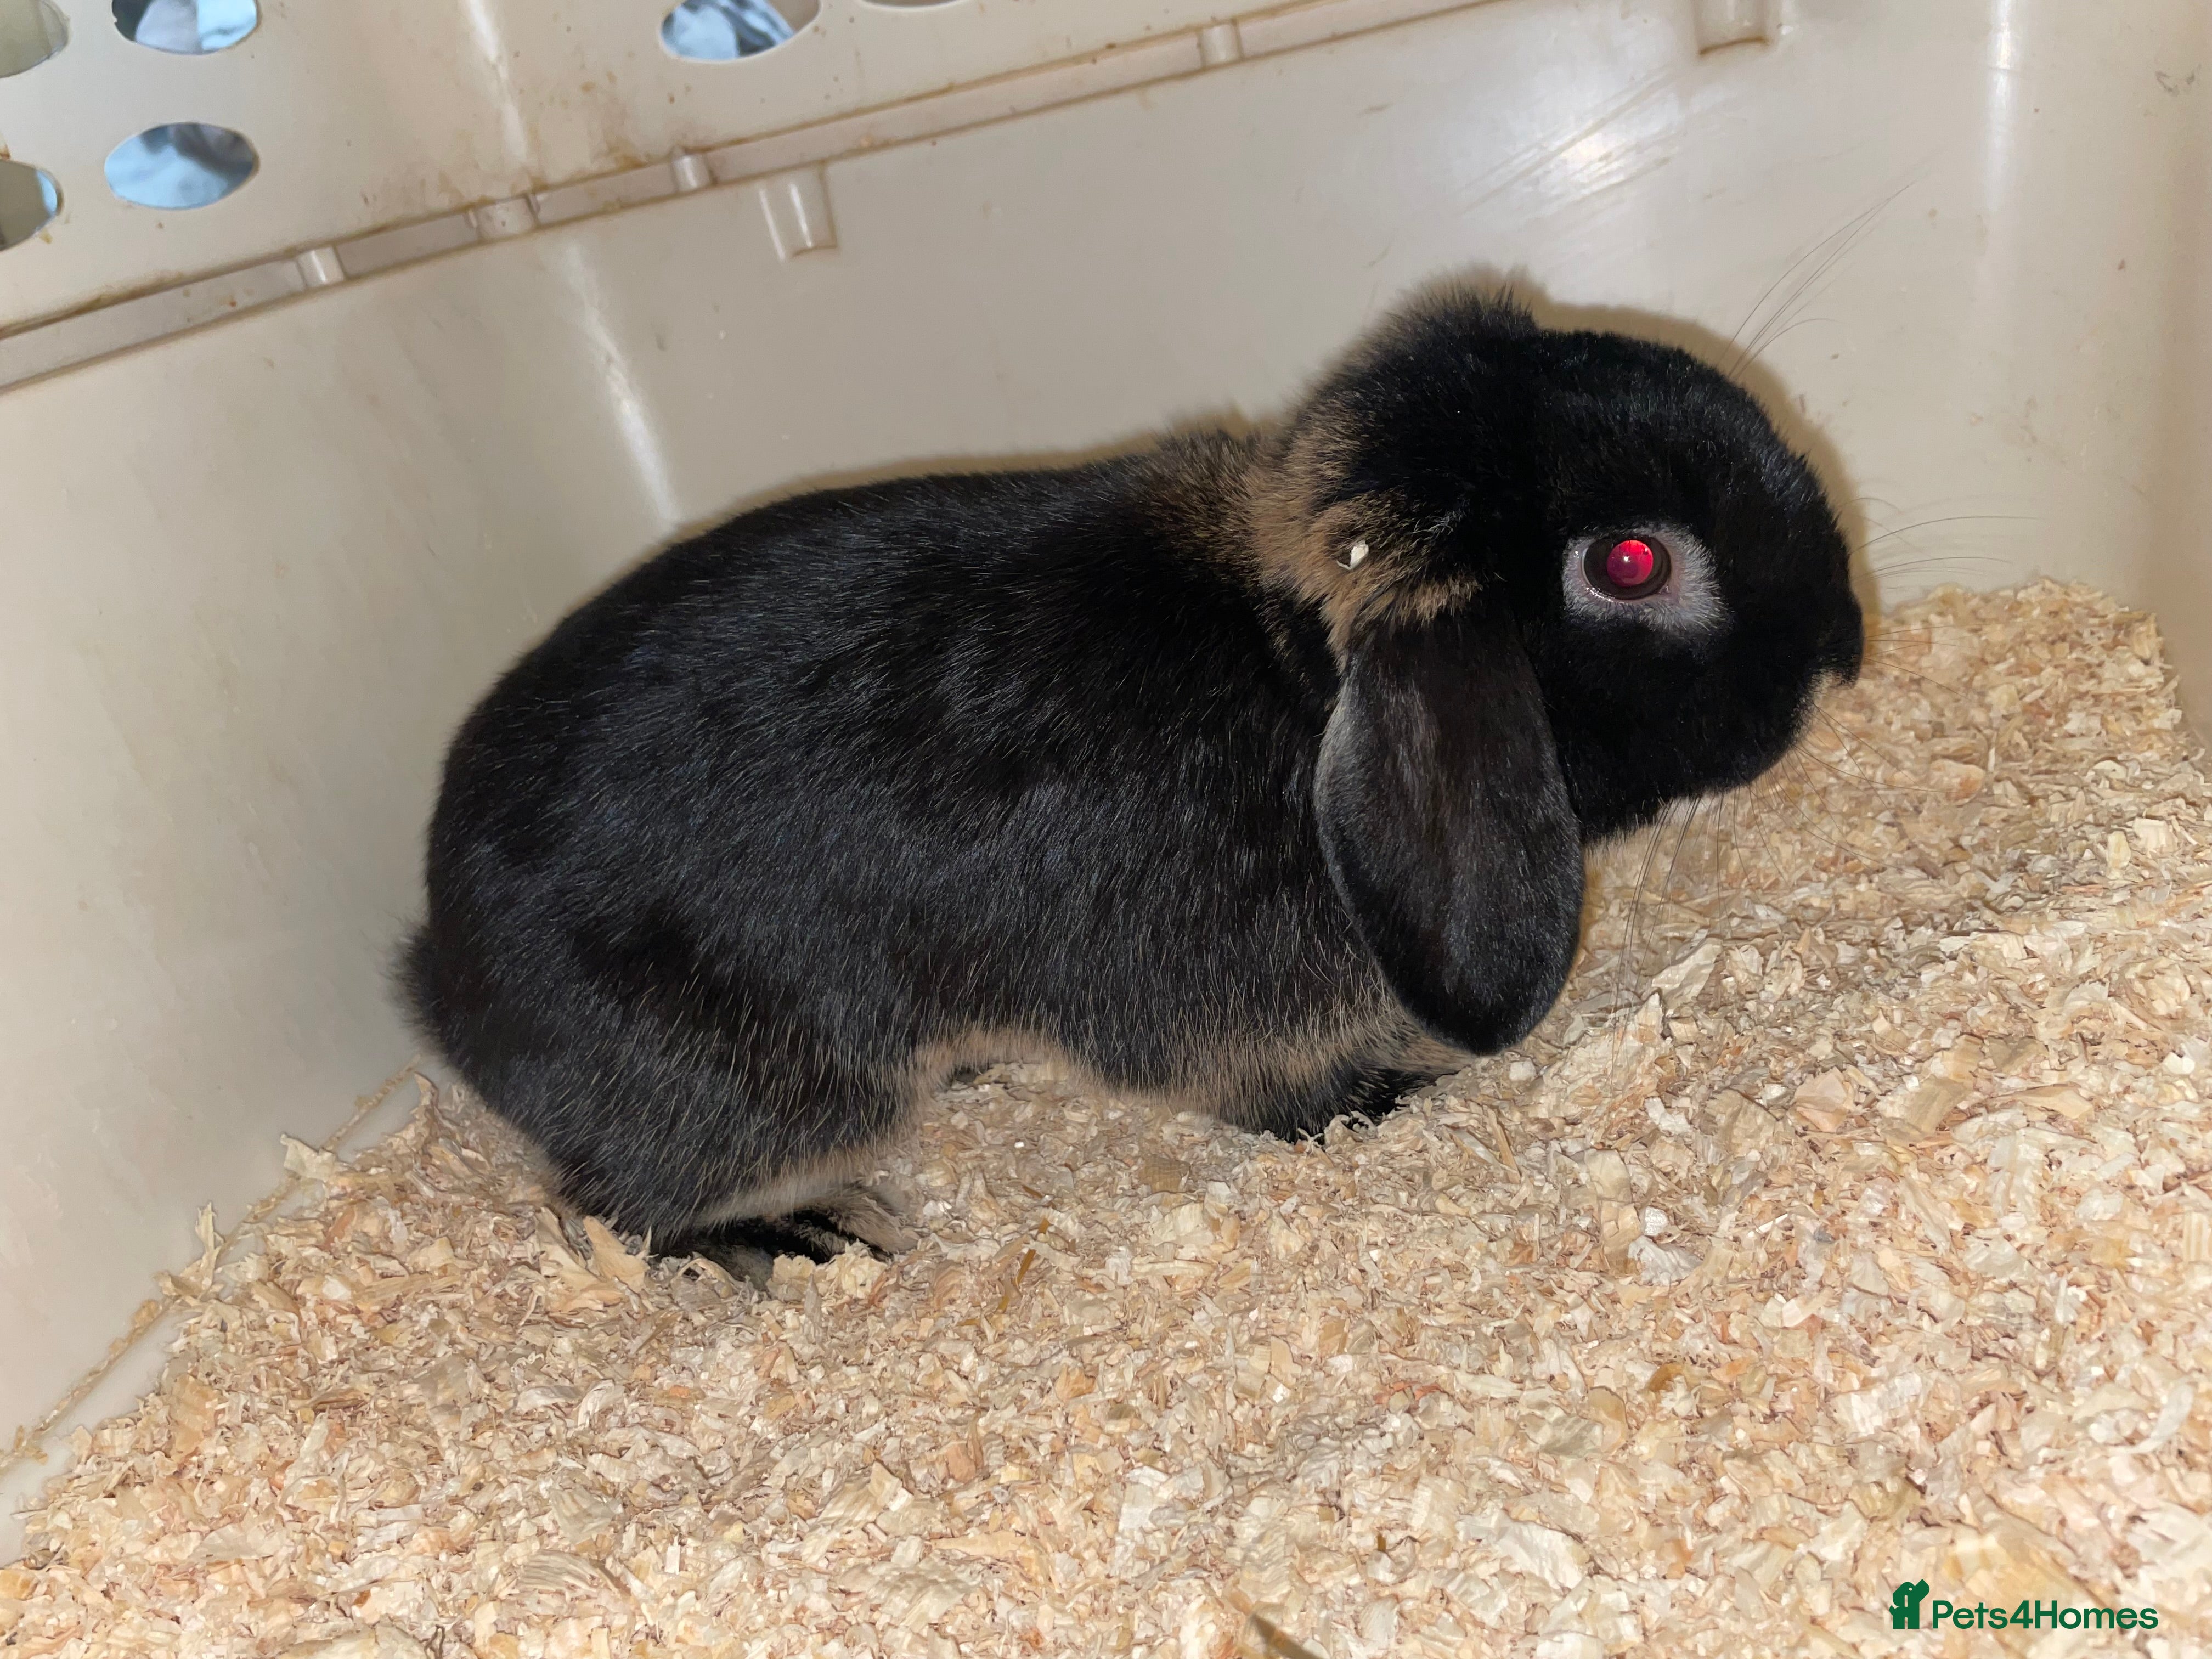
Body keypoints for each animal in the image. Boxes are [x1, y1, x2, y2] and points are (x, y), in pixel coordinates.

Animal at [400, 286, 1862, 1276]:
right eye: (1630, 565)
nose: (1843, 649)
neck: (1295, 674)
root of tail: (442, 987)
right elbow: (1276, 1098)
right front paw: (1396, 1095)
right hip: (782, 1089)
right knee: (612, 1208)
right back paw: (808, 1236)